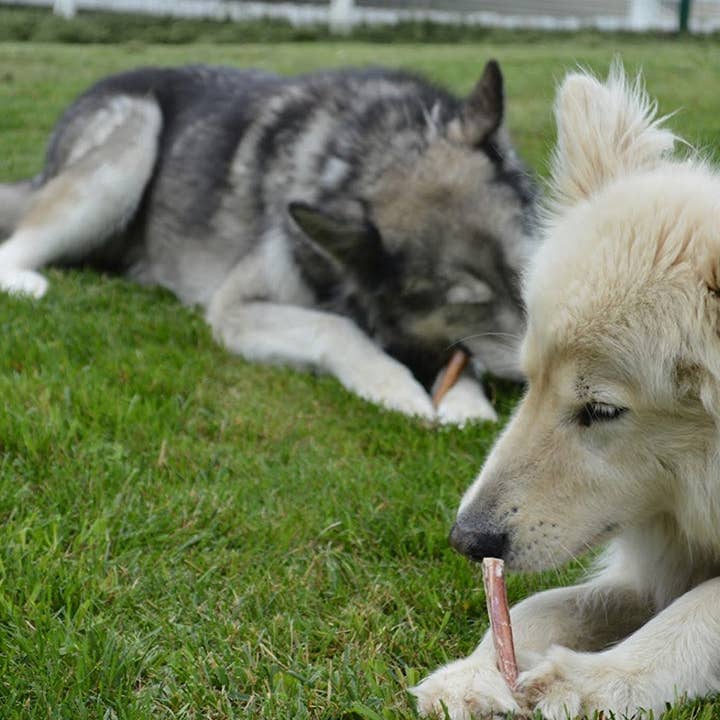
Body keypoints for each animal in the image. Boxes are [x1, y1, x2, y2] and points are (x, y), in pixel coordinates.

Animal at [0, 62, 536, 424]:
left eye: (527, 275)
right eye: (470, 303)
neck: (367, 151)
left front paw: (467, 400)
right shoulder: (234, 309)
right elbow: (336, 328)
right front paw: (393, 384)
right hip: (133, 143)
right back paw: (28, 283)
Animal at [414, 63, 720, 720]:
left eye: (601, 409)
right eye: (529, 383)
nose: (465, 540)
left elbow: (700, 610)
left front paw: (592, 682)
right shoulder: (651, 565)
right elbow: (547, 603)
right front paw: (477, 673)